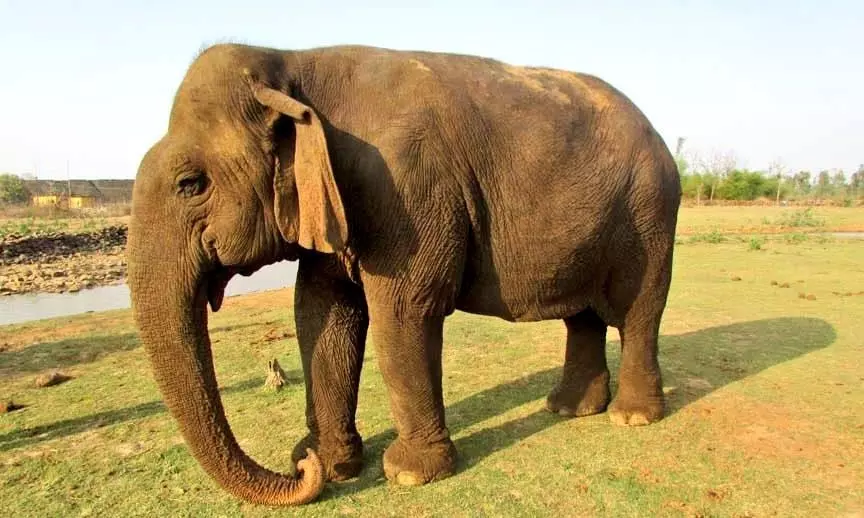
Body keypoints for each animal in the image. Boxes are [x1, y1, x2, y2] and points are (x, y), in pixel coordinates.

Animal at [127, 43, 681, 506]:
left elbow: (402, 311)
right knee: (583, 316)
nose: (300, 465)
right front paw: (334, 464)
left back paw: (631, 417)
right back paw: (568, 409)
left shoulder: (407, 188)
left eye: (190, 184)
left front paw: (410, 475)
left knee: (639, 310)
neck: (292, 63)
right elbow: (321, 313)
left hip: (651, 214)